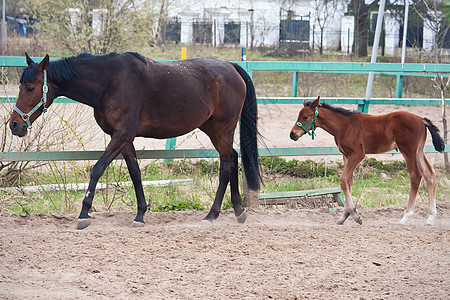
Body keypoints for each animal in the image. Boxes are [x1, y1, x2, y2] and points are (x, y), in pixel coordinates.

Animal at [9, 52, 260, 229]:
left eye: (30, 87)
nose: (14, 124)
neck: (110, 82)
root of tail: (231, 67)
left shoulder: (121, 135)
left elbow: (97, 169)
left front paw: (83, 215)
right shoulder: (124, 138)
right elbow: (135, 173)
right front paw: (140, 215)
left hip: (223, 127)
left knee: (226, 165)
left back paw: (211, 215)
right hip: (211, 127)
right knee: (232, 158)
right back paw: (239, 212)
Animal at [290, 96, 444, 225]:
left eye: (305, 116)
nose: (292, 134)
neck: (344, 126)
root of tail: (420, 119)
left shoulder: (358, 155)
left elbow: (343, 180)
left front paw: (355, 215)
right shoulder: (346, 155)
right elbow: (349, 182)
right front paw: (344, 216)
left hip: (409, 151)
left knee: (416, 176)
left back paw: (405, 217)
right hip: (419, 151)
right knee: (429, 174)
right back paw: (430, 217)